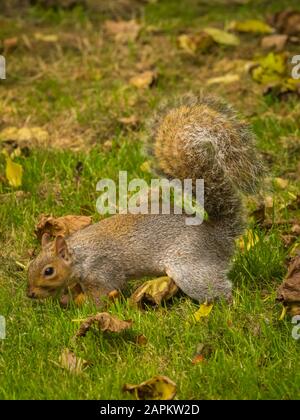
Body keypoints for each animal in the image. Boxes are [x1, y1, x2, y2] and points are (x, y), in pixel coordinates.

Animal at [27, 92, 262, 306]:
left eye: (49, 271)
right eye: (31, 264)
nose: (30, 294)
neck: (80, 255)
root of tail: (219, 235)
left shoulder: (103, 271)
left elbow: (102, 295)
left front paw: (81, 308)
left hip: (191, 268)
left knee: (218, 288)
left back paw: (226, 305)